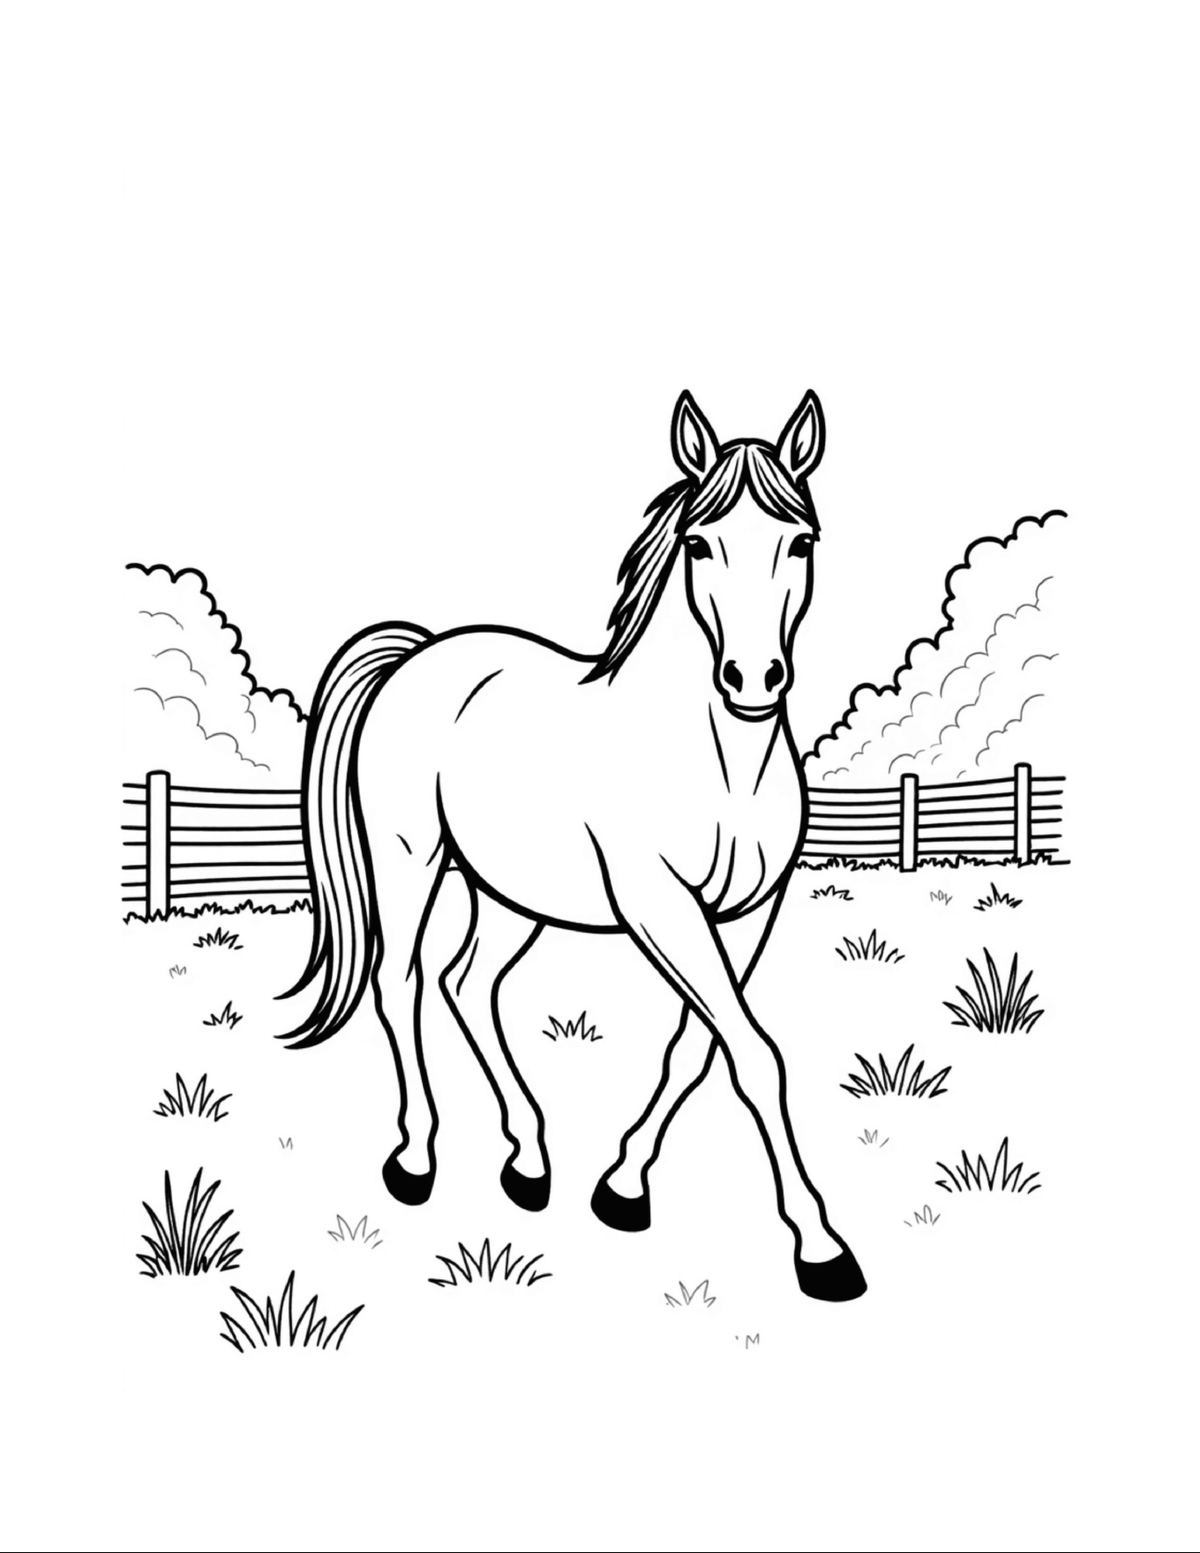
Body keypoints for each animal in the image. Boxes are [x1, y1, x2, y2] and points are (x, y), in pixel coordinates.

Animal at [280, 390, 866, 1302]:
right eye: (700, 542)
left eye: (801, 541)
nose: (753, 680)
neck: (718, 757)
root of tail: (421, 652)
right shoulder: (662, 906)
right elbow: (756, 1055)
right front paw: (822, 1247)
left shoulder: (745, 916)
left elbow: (698, 1050)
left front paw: (622, 1187)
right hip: (410, 860)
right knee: (400, 982)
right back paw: (415, 1160)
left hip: (511, 891)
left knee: (465, 983)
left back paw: (528, 1162)